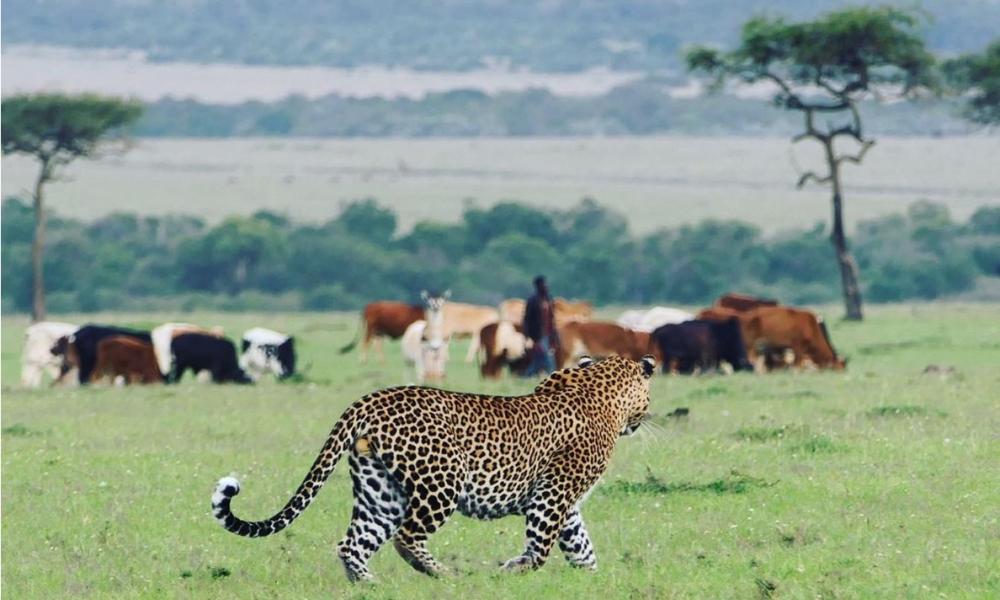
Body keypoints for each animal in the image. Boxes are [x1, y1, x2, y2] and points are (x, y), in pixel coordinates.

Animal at [211, 352, 656, 580]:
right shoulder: (553, 495)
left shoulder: (563, 501)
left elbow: (580, 545)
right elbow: (542, 546)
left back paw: (369, 587)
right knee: (406, 537)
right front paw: (512, 570)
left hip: (380, 490)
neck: (598, 386)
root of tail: (369, 399)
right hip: (441, 484)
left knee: (353, 544)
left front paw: (592, 580)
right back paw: (444, 576)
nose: (645, 419)